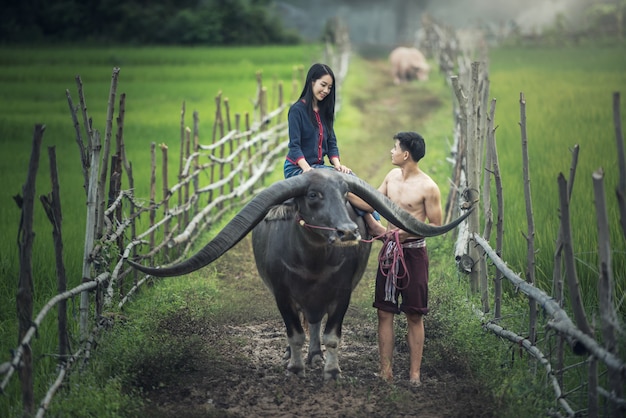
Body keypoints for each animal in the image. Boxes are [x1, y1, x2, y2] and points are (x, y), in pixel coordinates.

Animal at [128, 169, 468, 378]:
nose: (348, 232)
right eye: (314, 195)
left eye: (346, 195)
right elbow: (294, 332)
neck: (312, 261)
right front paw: (294, 366)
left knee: (316, 322)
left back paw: (315, 355)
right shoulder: (281, 293)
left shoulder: (342, 293)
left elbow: (331, 334)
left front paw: (331, 369)